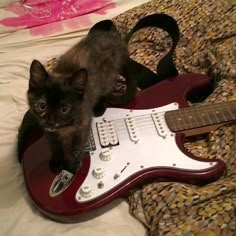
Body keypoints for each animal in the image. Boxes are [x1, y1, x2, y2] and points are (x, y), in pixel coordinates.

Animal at [26, 29, 137, 173]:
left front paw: (71, 166)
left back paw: (100, 107)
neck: (64, 128)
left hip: (109, 75)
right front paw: (57, 160)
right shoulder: (49, 131)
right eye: (42, 106)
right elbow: (55, 145)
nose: (51, 121)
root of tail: (118, 39)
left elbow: (76, 147)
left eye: (64, 109)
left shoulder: (83, 124)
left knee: (108, 89)